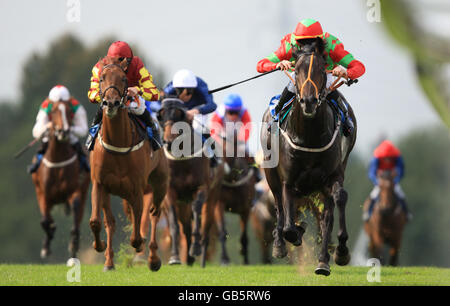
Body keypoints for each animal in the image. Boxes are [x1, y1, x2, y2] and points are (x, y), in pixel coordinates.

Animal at [31, 100, 90, 260]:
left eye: (69, 111)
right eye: (54, 112)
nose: (63, 132)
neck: (58, 159)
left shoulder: (75, 190)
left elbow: (75, 207)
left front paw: (73, 245)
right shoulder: (43, 194)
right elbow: (45, 221)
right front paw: (46, 246)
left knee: (78, 212)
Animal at [89, 56, 168, 270]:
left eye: (124, 79)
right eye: (101, 78)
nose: (111, 102)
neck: (118, 142)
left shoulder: (137, 188)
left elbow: (137, 233)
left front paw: (139, 246)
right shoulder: (99, 184)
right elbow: (97, 222)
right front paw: (100, 247)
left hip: (159, 184)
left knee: (154, 214)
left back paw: (153, 258)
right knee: (112, 222)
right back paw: (109, 261)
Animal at [157, 97, 224, 266]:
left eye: (178, 116)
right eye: (162, 118)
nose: (168, 142)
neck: (182, 160)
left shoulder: (201, 188)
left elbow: (197, 209)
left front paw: (195, 248)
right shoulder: (170, 193)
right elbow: (174, 223)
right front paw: (175, 257)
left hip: (213, 197)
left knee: (205, 228)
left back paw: (200, 257)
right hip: (182, 203)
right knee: (185, 226)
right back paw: (188, 258)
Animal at [262, 39, 356, 276]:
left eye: (322, 70)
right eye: (296, 70)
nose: (309, 102)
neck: (309, 137)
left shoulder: (332, 176)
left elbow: (336, 204)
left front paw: (338, 253)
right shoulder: (288, 180)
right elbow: (288, 225)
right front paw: (291, 235)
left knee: (328, 212)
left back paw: (324, 259)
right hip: (270, 174)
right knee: (279, 207)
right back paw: (280, 244)